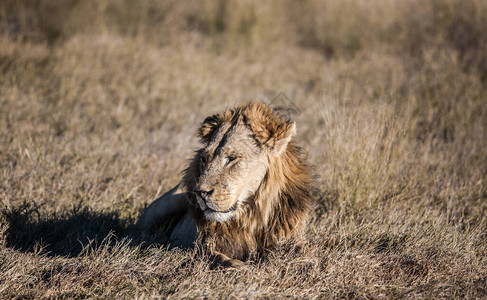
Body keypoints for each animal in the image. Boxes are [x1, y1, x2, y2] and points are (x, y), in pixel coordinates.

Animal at [135, 102, 314, 268]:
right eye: (204, 158)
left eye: (232, 158)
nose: (200, 193)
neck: (251, 217)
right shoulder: (201, 244)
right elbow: (215, 256)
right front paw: (239, 267)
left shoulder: (293, 238)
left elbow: (303, 253)